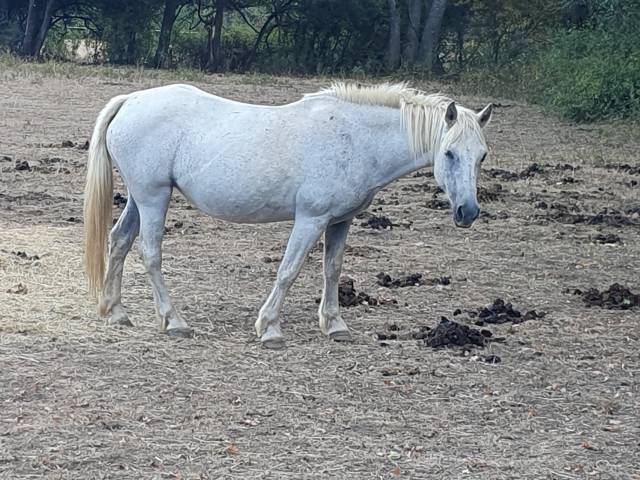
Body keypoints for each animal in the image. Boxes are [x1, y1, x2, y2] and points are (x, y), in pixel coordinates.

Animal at [83, 82, 493, 348]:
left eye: (482, 155)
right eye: (449, 153)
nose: (467, 212)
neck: (355, 139)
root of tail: (131, 100)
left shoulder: (340, 221)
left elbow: (332, 270)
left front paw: (335, 324)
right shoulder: (311, 219)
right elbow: (289, 270)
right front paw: (269, 328)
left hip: (141, 199)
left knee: (119, 241)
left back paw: (115, 311)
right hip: (153, 198)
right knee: (150, 254)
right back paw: (174, 322)